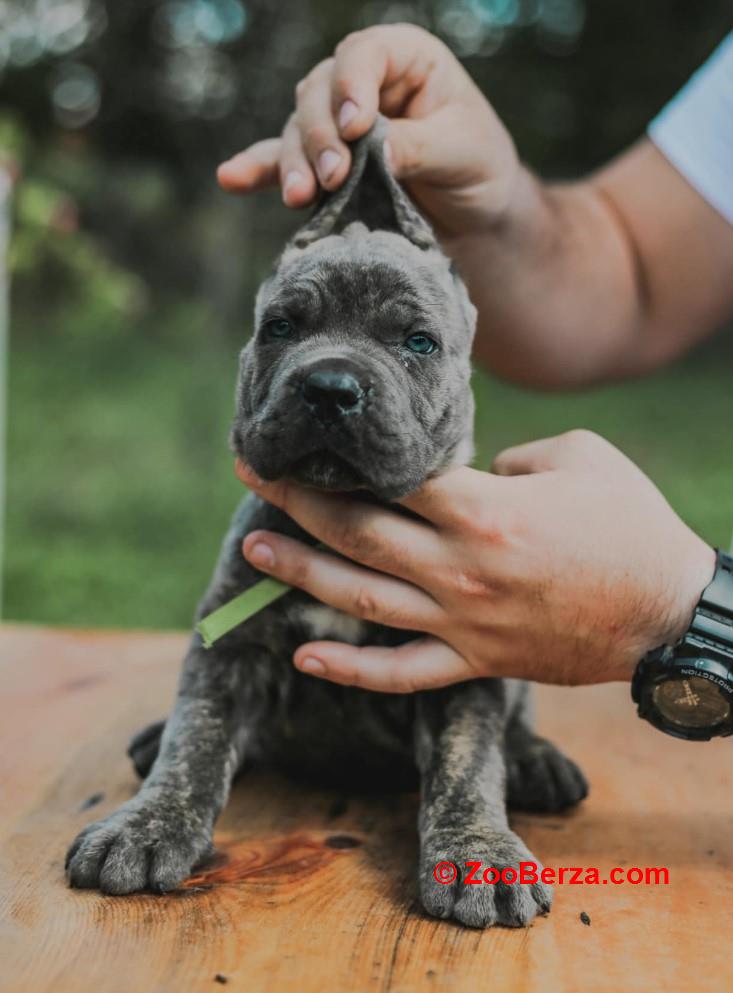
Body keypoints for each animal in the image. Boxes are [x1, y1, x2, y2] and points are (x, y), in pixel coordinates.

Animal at [66, 118, 588, 928]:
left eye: (417, 342)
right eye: (281, 327)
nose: (330, 386)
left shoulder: (461, 667)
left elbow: (468, 764)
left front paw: (479, 851)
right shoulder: (229, 646)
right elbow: (197, 740)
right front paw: (146, 823)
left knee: (517, 714)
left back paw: (535, 760)